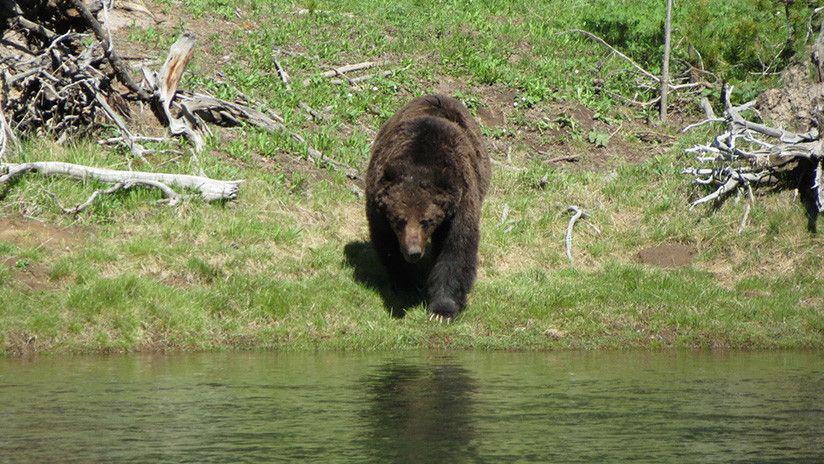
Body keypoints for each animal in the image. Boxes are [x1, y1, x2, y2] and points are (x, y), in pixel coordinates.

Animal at [365, 94, 490, 320]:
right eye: (399, 220)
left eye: (426, 221)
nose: (413, 252)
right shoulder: (378, 206)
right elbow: (387, 244)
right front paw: (405, 282)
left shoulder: (460, 202)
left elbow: (455, 247)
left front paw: (442, 310)